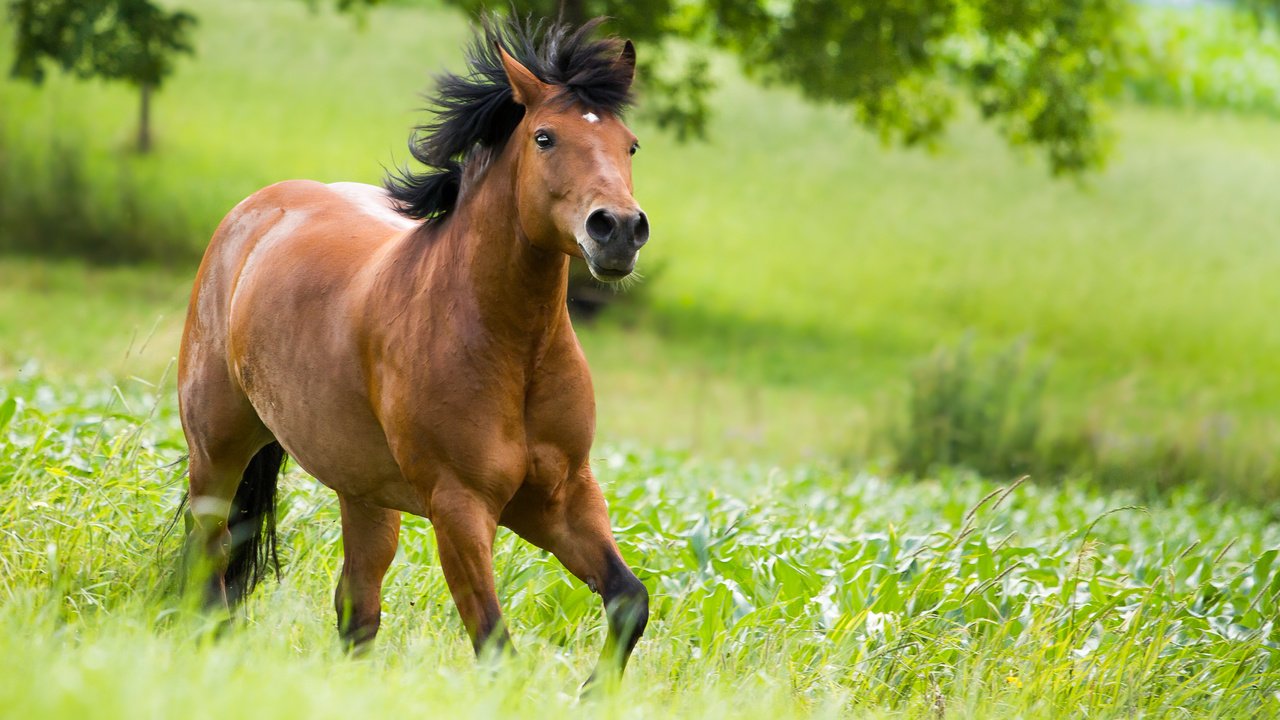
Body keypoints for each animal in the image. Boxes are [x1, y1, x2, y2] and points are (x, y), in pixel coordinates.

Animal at [177, 15, 650, 676]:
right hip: (216, 453)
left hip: (365, 493)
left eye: (629, 144)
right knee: (211, 559)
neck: (514, 351)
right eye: (545, 138)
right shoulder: (460, 506)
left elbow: (629, 600)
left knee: (356, 606)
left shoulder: (561, 496)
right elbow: (495, 644)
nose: (619, 230)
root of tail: (255, 213)